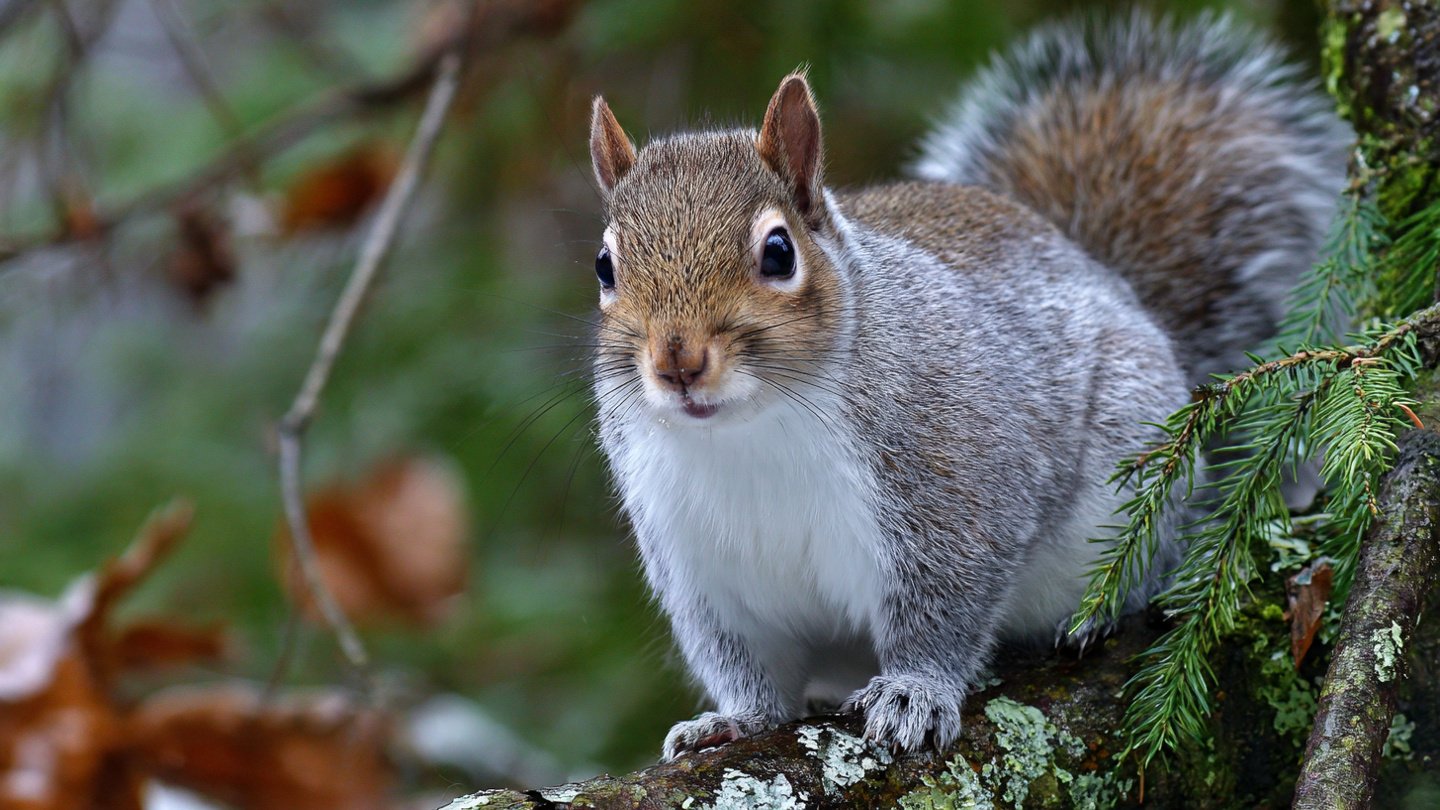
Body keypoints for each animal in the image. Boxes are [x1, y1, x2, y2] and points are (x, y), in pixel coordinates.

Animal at [585, 11, 1347, 759]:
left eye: (779, 252)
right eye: (604, 266)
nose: (678, 363)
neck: (750, 433)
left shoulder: (954, 488)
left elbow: (944, 611)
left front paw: (913, 692)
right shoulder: (702, 569)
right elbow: (744, 661)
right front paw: (736, 718)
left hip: (1136, 477)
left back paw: (1100, 613)